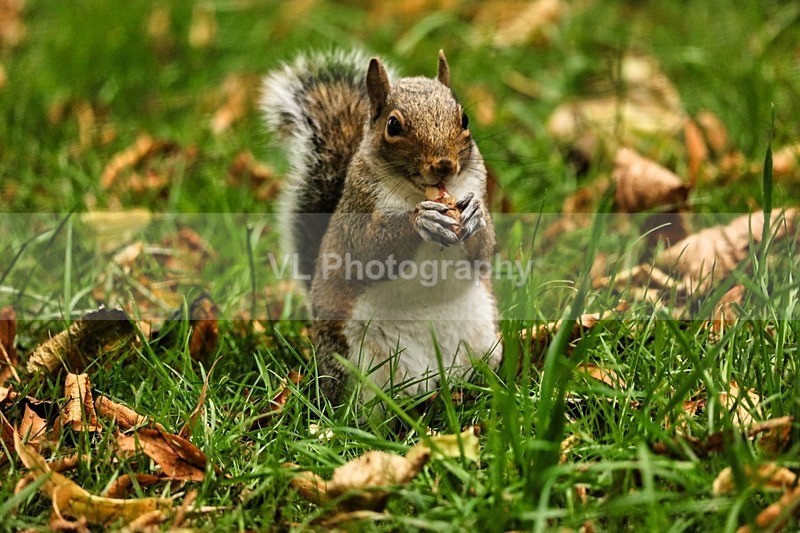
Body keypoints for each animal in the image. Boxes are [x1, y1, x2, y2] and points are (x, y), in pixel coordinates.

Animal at [261, 49, 502, 405]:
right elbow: (370, 250)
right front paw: (422, 220)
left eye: (465, 119)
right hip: (356, 363)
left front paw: (474, 215)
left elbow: (482, 252)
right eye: (393, 125)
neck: (418, 191)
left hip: (483, 342)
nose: (444, 164)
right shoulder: (357, 214)